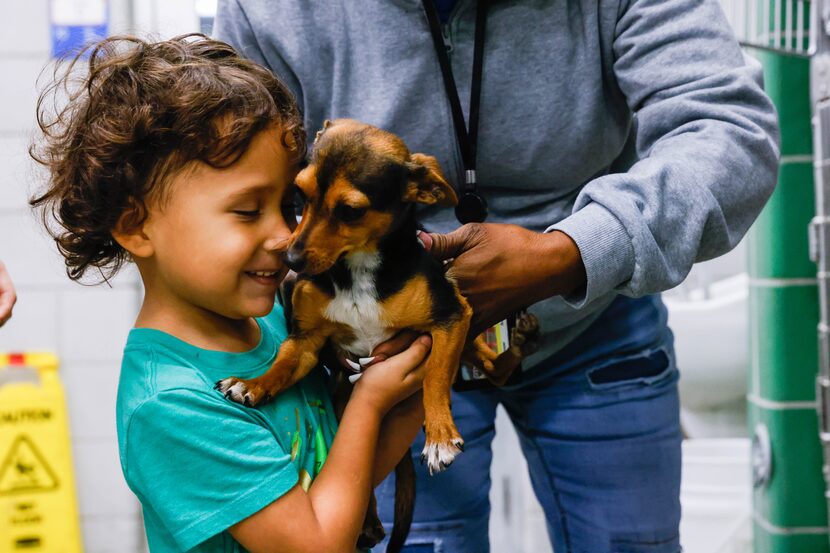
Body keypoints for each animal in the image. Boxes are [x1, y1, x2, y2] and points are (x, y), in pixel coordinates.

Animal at [218, 118, 540, 548]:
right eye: (299, 193)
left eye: (350, 211)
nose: (291, 261)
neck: (358, 270)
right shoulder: (306, 342)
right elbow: (283, 365)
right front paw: (252, 384)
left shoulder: (451, 318)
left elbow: (435, 376)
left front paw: (440, 436)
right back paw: (368, 521)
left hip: (469, 335)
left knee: (495, 369)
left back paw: (520, 343)